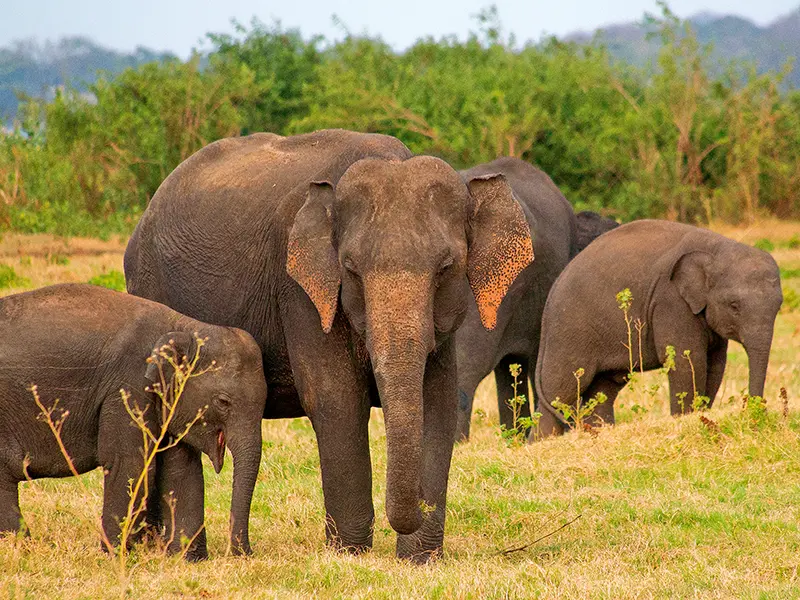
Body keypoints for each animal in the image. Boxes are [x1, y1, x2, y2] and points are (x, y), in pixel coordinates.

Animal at [0, 284, 267, 560]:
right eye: (223, 402)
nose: (243, 553)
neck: (183, 327)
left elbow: (181, 468)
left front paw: (187, 559)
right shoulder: (129, 386)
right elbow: (130, 462)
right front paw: (115, 556)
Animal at [123, 129, 533, 563]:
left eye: (446, 268)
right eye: (350, 269)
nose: (413, 513)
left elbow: (437, 400)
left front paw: (419, 560)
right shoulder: (300, 292)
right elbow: (337, 399)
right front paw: (350, 554)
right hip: (151, 286)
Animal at [533, 220, 783, 439]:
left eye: (779, 305)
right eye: (734, 306)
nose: (755, 412)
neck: (717, 247)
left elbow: (715, 364)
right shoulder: (670, 300)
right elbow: (687, 360)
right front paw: (687, 420)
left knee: (603, 389)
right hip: (569, 330)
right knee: (562, 390)